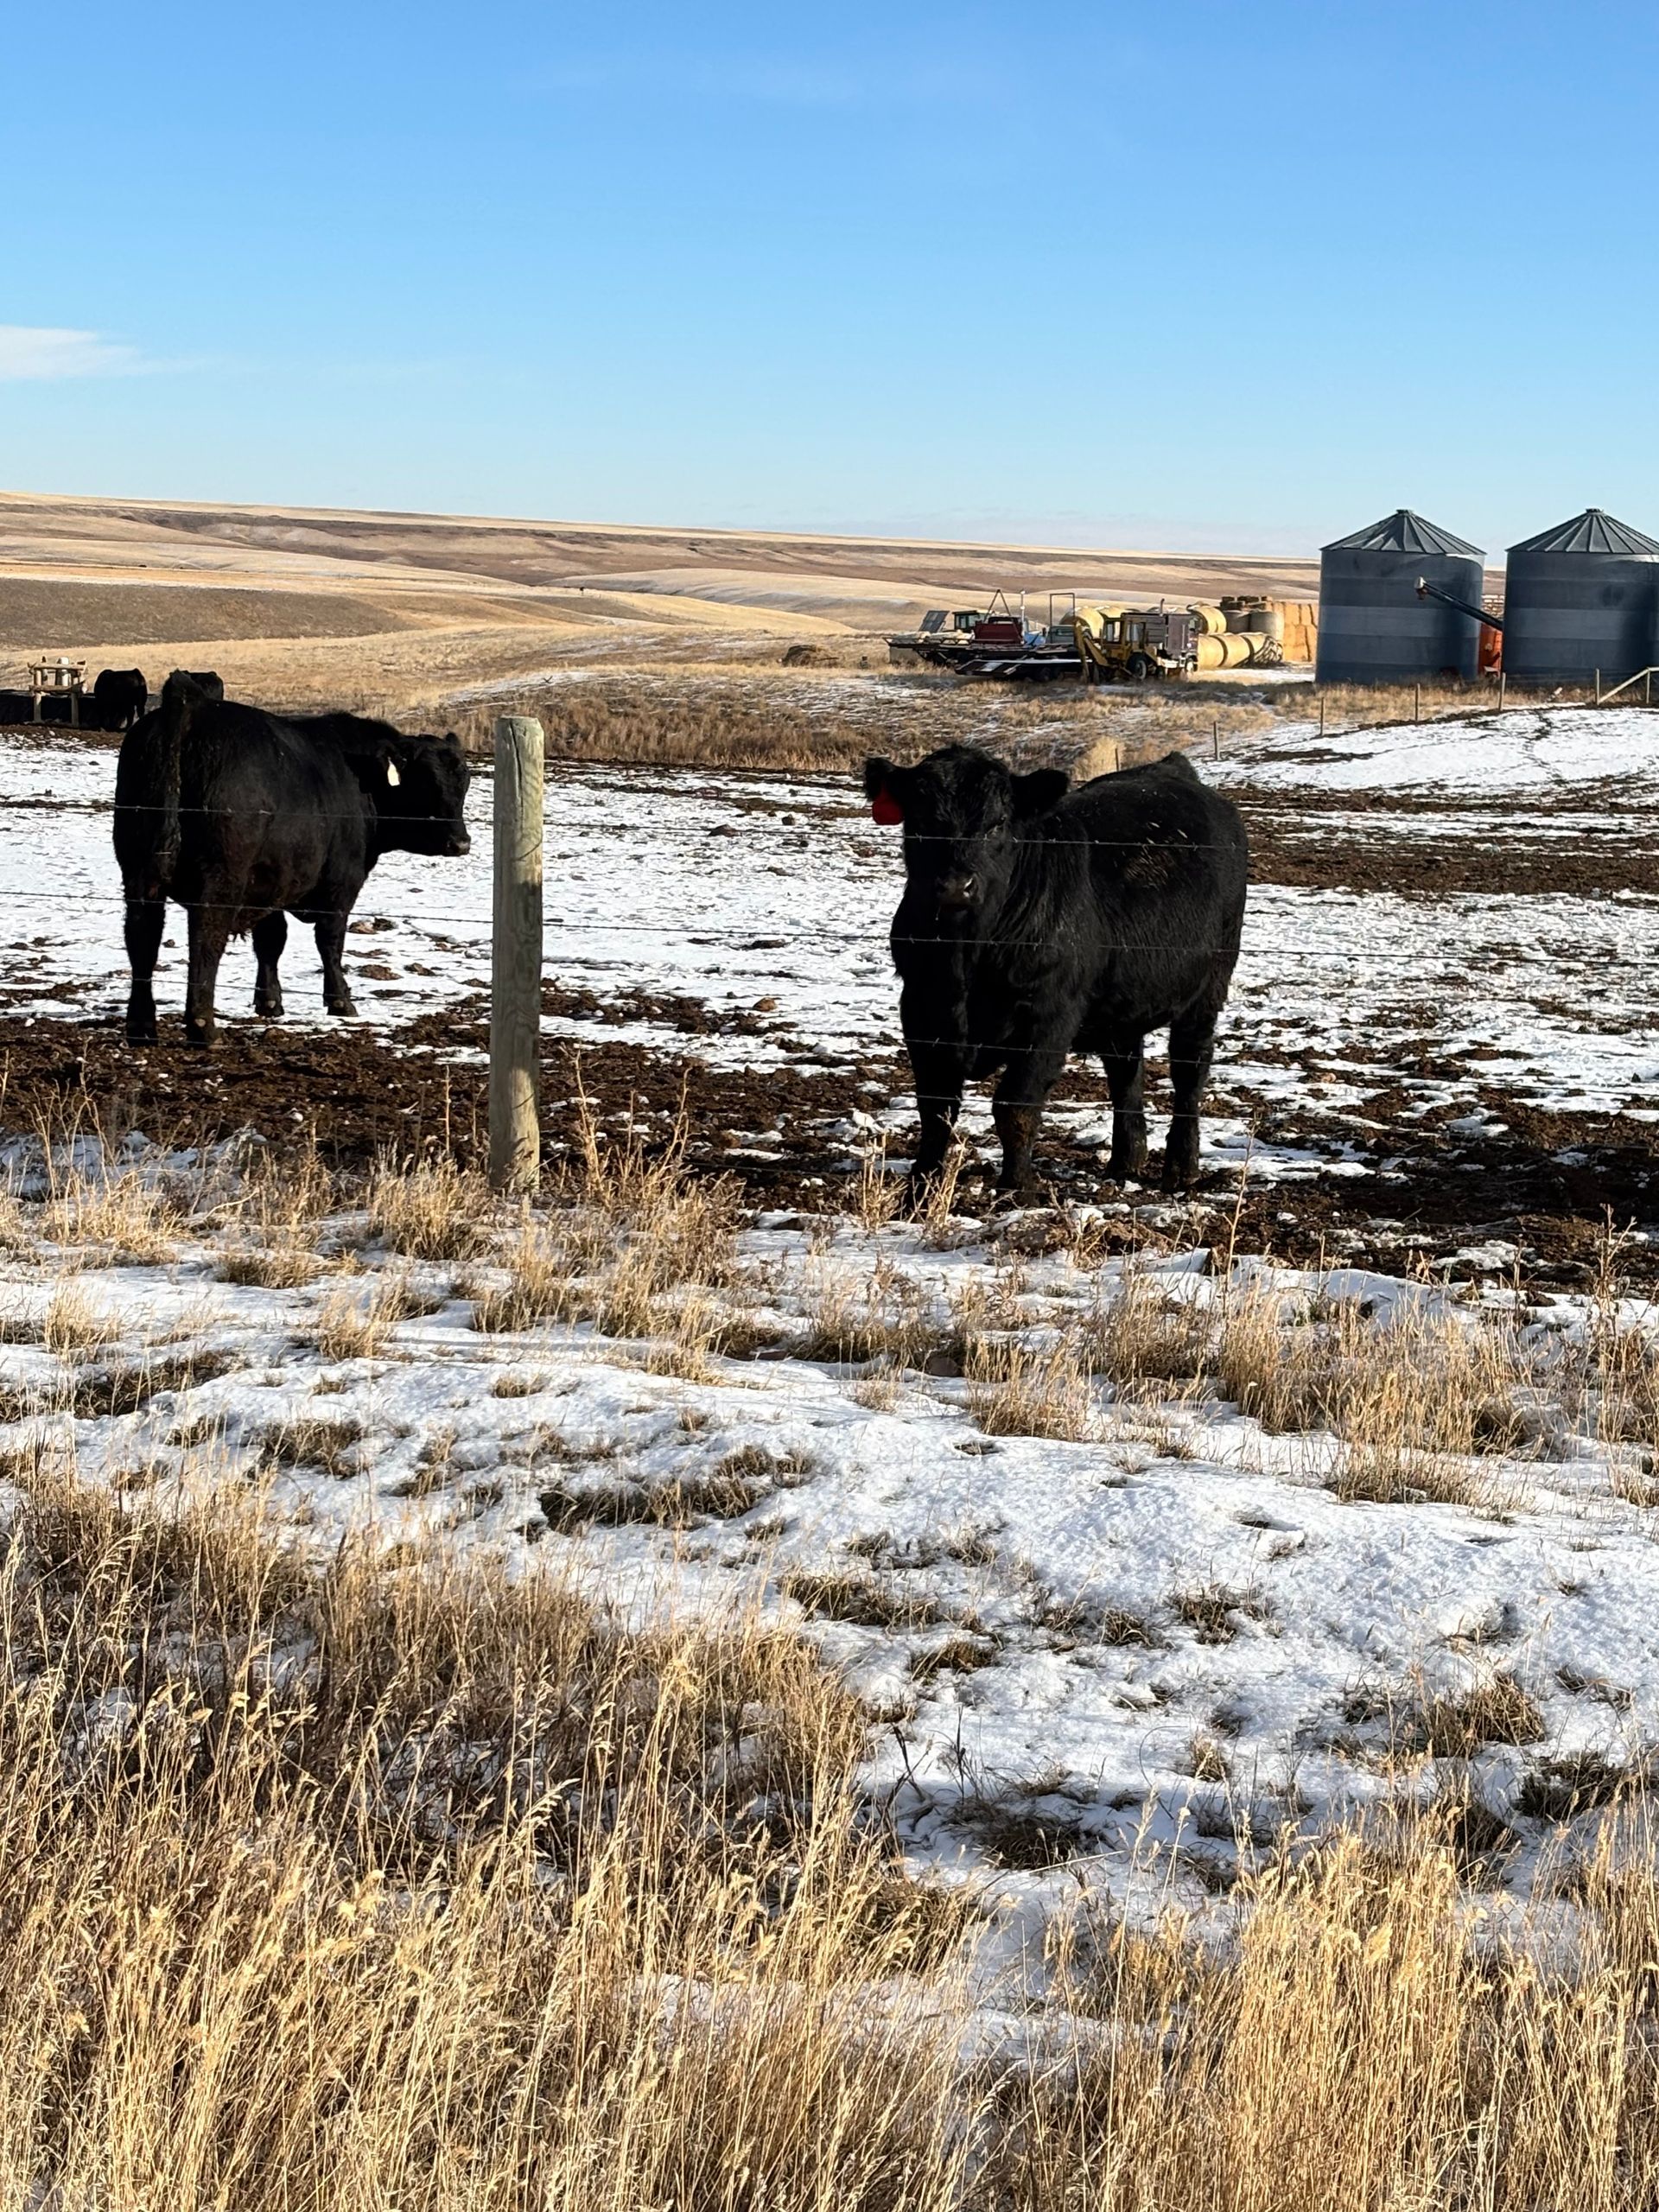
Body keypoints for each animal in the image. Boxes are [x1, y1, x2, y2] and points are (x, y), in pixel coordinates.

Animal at [114, 673, 470, 1047]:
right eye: (423, 783)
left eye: (464, 781)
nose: (460, 843)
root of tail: (192, 705)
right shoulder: (342, 882)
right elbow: (330, 941)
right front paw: (341, 1001)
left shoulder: (272, 879)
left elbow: (272, 939)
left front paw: (270, 1002)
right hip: (219, 875)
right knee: (205, 938)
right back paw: (203, 1027)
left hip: (138, 870)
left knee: (142, 937)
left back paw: (141, 1026)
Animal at [862, 743, 1249, 1196]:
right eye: (921, 819)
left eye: (998, 823)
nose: (956, 886)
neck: (966, 957)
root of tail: (1173, 768)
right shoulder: (921, 1009)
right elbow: (935, 1108)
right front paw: (920, 1186)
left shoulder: (1049, 1016)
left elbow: (1015, 1105)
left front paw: (1016, 1188)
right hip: (1121, 1007)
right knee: (1125, 1074)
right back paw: (1125, 1163)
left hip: (1208, 986)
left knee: (1189, 1069)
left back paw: (1181, 1168)